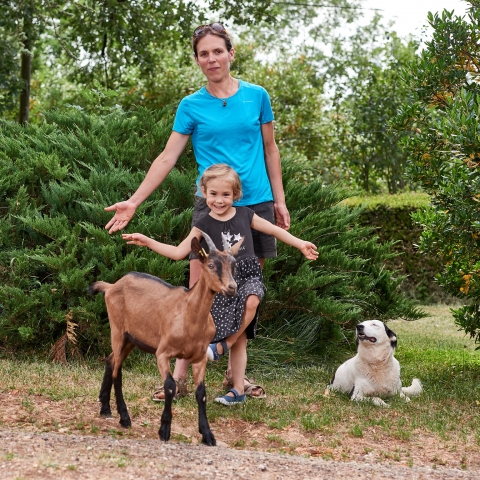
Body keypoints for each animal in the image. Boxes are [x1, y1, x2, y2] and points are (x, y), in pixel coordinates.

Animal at [88, 231, 242, 444]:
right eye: (211, 265)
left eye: (233, 265)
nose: (232, 287)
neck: (189, 316)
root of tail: (111, 286)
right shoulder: (162, 353)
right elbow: (169, 386)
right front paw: (164, 430)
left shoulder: (200, 357)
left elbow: (201, 393)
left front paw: (208, 435)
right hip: (117, 330)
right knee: (117, 371)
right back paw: (124, 417)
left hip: (131, 339)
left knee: (111, 361)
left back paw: (105, 407)